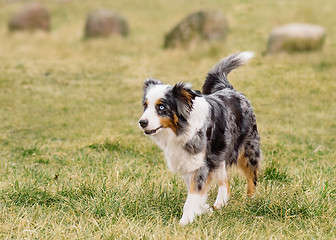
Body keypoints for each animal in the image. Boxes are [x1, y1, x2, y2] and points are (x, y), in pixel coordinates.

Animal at [138, 52, 262, 225]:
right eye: (145, 105)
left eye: (161, 107)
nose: (142, 122)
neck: (180, 130)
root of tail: (229, 89)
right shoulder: (188, 162)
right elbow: (196, 191)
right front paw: (203, 209)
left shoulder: (202, 164)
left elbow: (193, 194)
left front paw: (185, 221)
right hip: (220, 152)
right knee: (225, 181)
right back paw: (220, 204)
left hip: (248, 149)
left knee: (251, 176)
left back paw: (250, 200)